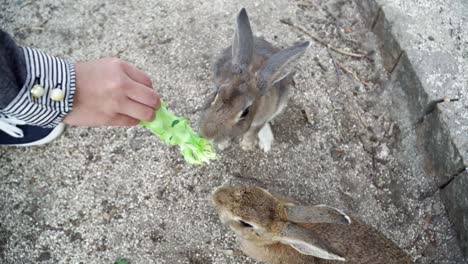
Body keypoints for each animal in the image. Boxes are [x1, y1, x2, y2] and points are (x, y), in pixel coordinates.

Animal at [198, 8, 310, 152]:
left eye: (245, 112)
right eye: (217, 92)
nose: (207, 134)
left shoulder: (261, 120)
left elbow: (254, 130)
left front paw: (246, 146)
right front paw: (223, 145)